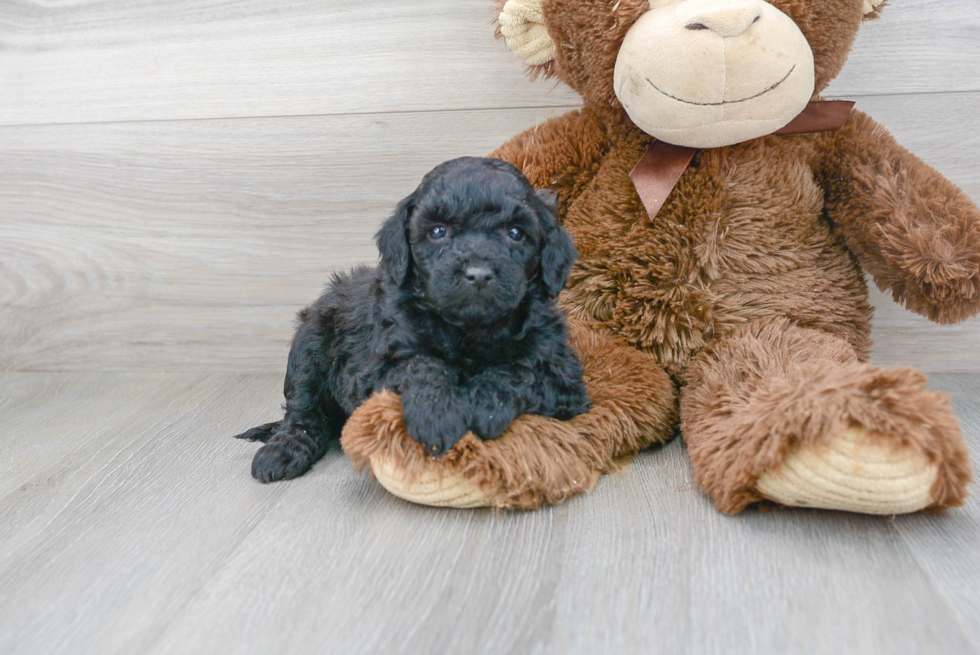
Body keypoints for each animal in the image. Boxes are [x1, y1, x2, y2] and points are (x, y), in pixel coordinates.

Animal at [237, 157, 588, 484]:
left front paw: (481, 410)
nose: (478, 274)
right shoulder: (375, 367)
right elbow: (419, 366)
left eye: (516, 233)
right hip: (311, 340)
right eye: (438, 231)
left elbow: (515, 373)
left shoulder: (563, 376)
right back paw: (282, 451)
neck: (469, 330)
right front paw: (438, 416)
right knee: (304, 410)